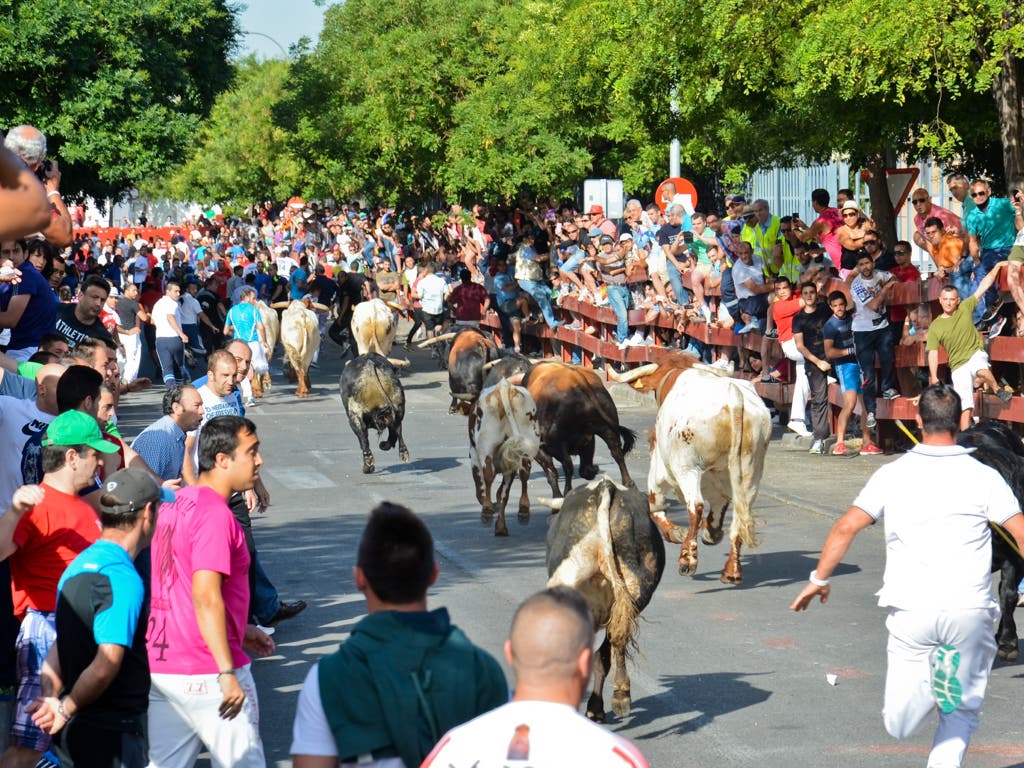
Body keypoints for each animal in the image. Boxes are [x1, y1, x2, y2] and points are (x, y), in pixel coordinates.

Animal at [468, 376, 540, 536]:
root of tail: (504, 386)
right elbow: (503, 494)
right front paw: (501, 527)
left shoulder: (473, 455)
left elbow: (481, 488)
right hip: (527, 443)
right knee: (524, 472)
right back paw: (523, 509)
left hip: (486, 444)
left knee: (488, 474)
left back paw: (487, 510)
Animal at [524, 362, 634, 499]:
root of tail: (577, 379)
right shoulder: (588, 439)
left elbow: (552, 470)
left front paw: (557, 496)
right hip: (604, 428)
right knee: (617, 453)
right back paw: (627, 483)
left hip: (556, 443)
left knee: (567, 465)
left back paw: (567, 492)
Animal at [606, 354, 770, 581]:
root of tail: (734, 399)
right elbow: (720, 503)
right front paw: (711, 532)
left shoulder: (659, 470)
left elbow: (656, 506)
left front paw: (674, 533)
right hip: (751, 471)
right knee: (739, 513)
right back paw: (731, 570)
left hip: (687, 468)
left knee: (696, 506)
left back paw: (688, 559)